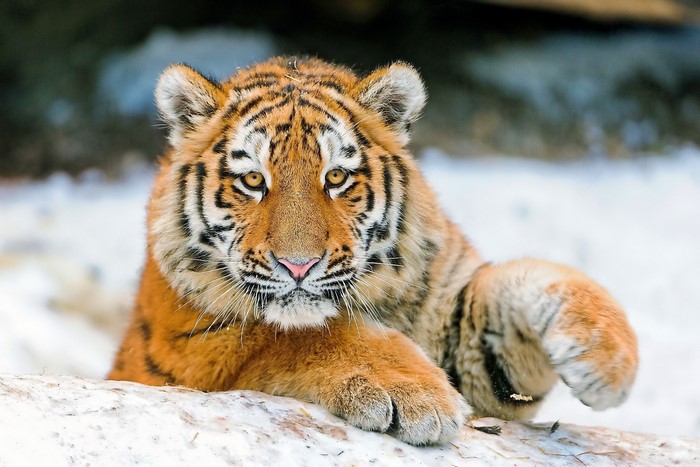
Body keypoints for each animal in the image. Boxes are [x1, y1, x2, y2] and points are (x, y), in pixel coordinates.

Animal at [108, 56, 638, 446]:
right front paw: (414, 394)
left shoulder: (461, 326)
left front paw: (607, 357)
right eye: (253, 181)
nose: (298, 265)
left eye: (337, 177)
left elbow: (526, 278)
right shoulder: (194, 347)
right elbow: (297, 335)